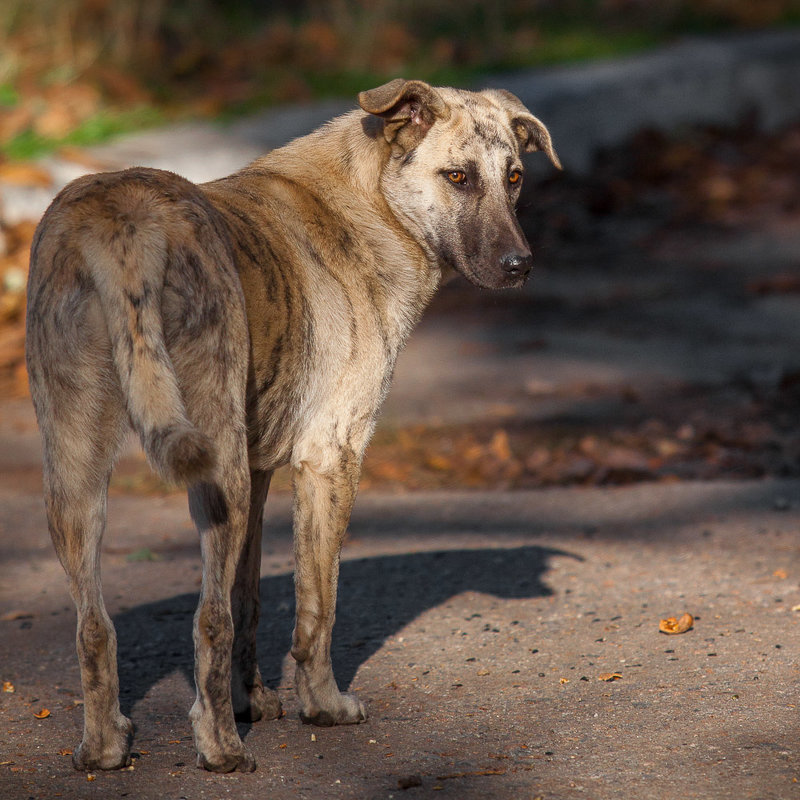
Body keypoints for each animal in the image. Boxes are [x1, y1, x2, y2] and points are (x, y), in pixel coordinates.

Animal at [26, 78, 564, 772]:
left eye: (516, 177)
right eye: (458, 177)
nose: (520, 265)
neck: (372, 198)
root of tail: (125, 221)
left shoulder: (257, 476)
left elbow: (249, 597)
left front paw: (254, 699)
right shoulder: (329, 458)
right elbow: (316, 606)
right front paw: (323, 706)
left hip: (79, 472)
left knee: (96, 626)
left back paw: (104, 746)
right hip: (214, 470)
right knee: (206, 621)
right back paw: (221, 748)